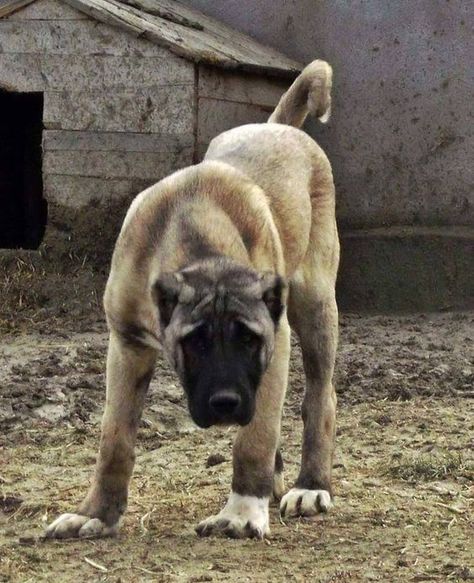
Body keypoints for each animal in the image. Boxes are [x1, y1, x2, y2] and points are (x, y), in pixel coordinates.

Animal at [46, 60, 338, 544]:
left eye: (247, 339)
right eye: (193, 342)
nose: (225, 404)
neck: (195, 238)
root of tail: (275, 126)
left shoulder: (273, 342)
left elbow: (254, 438)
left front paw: (242, 511)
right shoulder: (125, 345)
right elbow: (114, 439)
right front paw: (96, 514)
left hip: (315, 304)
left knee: (319, 396)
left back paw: (310, 486)